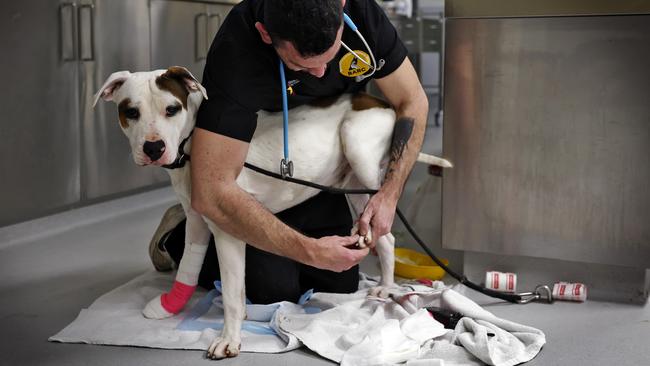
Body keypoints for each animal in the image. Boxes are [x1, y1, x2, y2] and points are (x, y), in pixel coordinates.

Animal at [93, 66, 448, 360]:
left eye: (172, 109)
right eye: (130, 112)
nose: (153, 148)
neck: (191, 146)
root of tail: (378, 101)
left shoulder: (226, 229)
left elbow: (231, 292)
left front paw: (228, 339)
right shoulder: (198, 220)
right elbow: (202, 274)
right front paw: (193, 309)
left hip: (360, 153)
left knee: (384, 226)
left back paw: (387, 287)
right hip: (354, 185)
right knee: (384, 237)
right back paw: (386, 286)